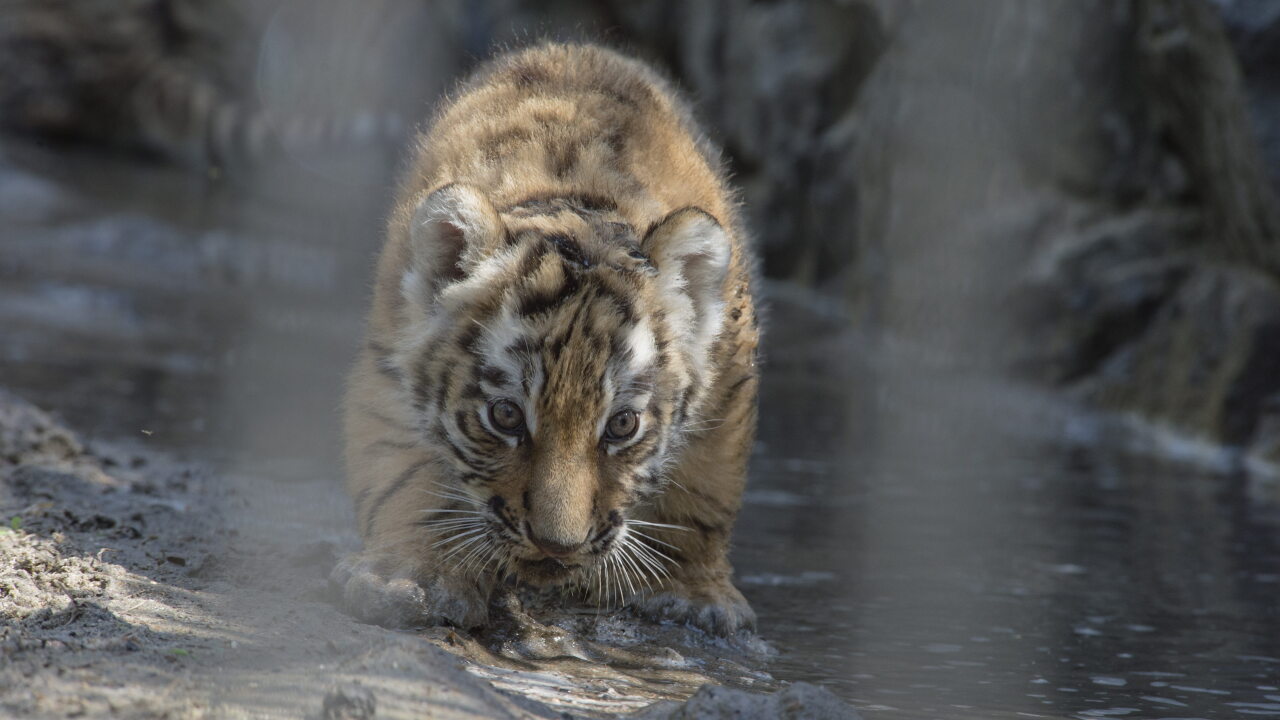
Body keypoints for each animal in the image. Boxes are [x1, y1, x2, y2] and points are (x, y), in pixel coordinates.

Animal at [335, 42, 760, 636]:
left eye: (622, 425)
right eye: (505, 416)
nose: (557, 545)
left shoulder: (729, 381)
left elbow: (704, 491)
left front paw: (691, 594)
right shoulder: (390, 360)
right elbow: (403, 473)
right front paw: (412, 576)